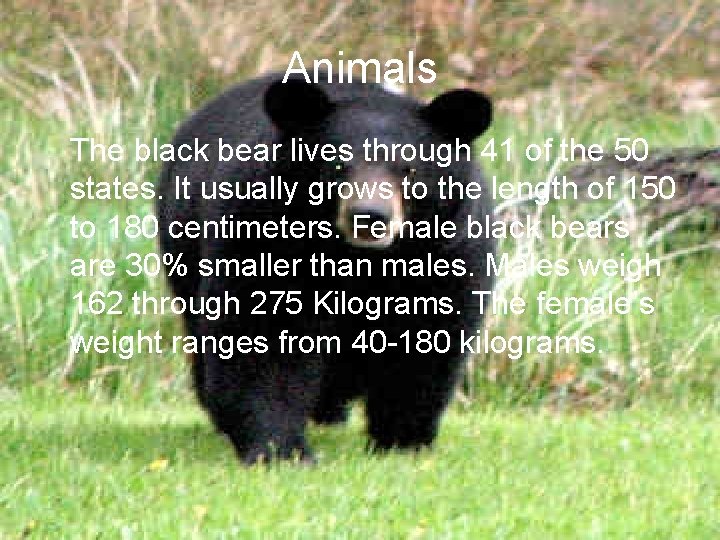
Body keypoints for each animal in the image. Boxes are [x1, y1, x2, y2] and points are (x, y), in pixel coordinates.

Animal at [156, 72, 495, 464]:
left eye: (408, 170)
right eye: (337, 166)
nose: (369, 217)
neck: (361, 259)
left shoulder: (448, 252)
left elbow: (425, 342)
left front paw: (401, 442)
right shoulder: (263, 231)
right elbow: (264, 335)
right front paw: (281, 449)